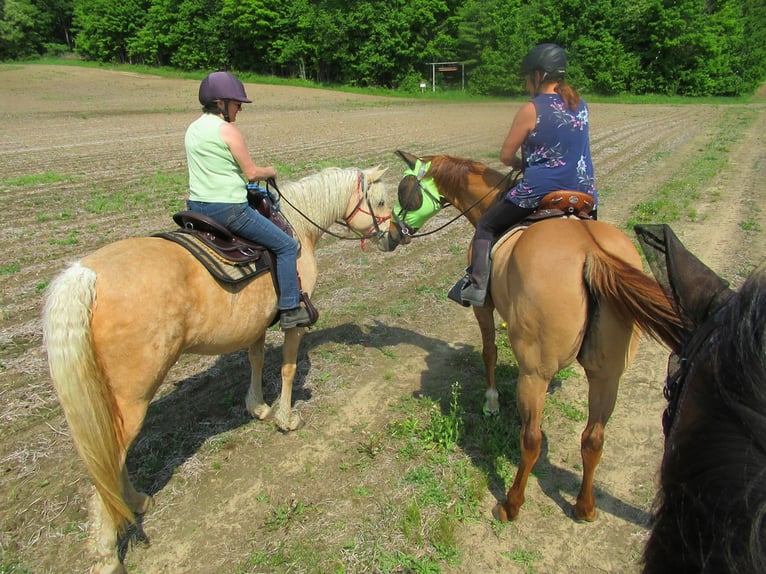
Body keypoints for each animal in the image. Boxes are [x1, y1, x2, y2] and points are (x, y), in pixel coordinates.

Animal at [42, 166, 390, 574]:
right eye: (380, 200)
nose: (396, 235)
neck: (297, 228)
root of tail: (85, 275)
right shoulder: (294, 322)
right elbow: (287, 369)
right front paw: (285, 418)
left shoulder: (255, 323)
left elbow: (256, 361)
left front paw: (258, 407)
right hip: (130, 400)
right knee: (107, 466)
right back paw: (107, 555)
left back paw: (137, 502)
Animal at [380, 152, 680, 528]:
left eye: (404, 188)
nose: (388, 234)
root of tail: (591, 253)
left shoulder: (484, 307)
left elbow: (489, 351)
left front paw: (491, 403)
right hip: (607, 374)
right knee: (593, 438)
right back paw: (584, 507)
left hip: (535, 372)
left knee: (532, 440)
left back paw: (511, 504)